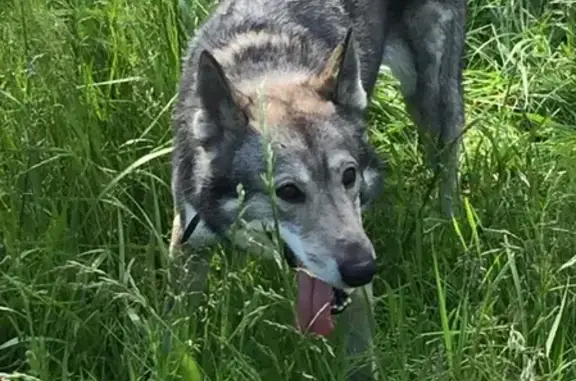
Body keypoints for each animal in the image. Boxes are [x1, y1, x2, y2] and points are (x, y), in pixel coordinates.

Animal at [169, 0, 466, 378]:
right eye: (289, 191)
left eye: (349, 176)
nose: (362, 270)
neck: (269, 71)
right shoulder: (189, 241)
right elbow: (176, 331)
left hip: (431, 101)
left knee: (448, 167)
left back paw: (448, 228)